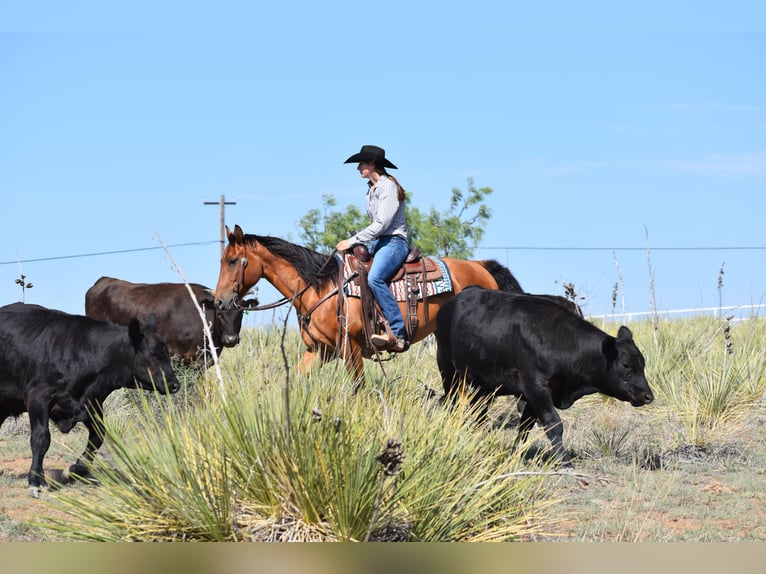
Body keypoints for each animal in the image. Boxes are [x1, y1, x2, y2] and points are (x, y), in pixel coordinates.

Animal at [213, 224, 521, 385]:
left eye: (232, 261)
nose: (219, 300)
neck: (321, 288)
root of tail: (481, 267)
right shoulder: (319, 351)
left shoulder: (351, 349)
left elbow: (357, 389)